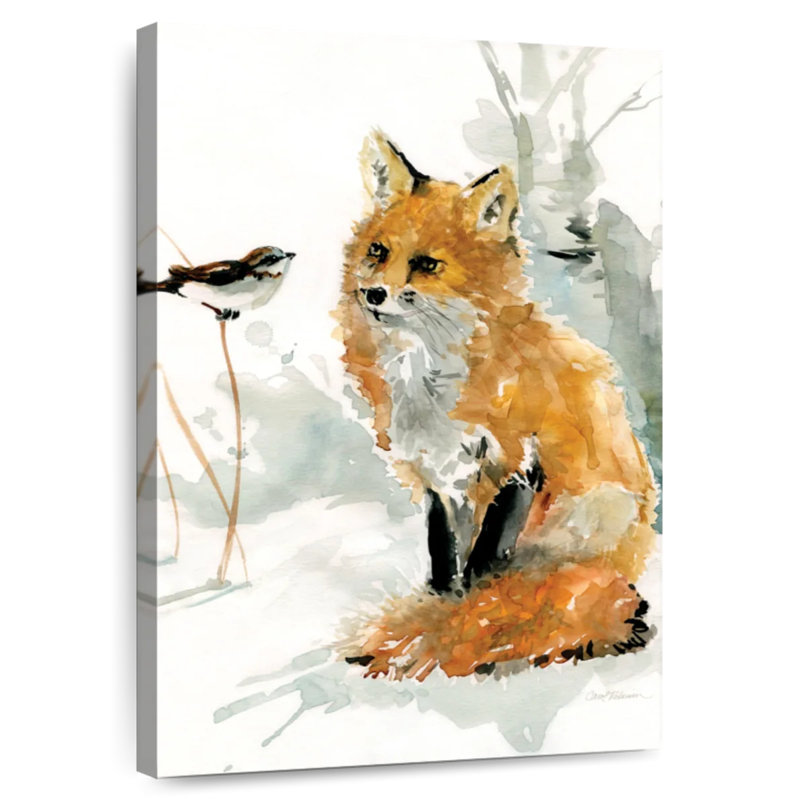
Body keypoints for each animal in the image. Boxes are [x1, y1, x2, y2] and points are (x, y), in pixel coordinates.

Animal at [335, 131, 658, 681]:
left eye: (426, 264)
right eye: (378, 251)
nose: (373, 293)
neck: (430, 377)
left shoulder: (519, 462)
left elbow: (485, 568)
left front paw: (464, 620)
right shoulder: (439, 480)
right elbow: (446, 566)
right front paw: (444, 608)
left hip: (593, 513)